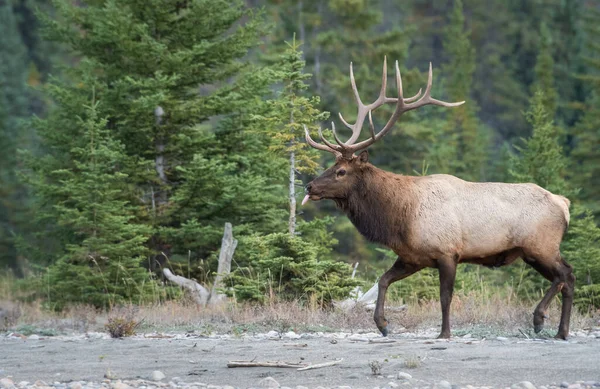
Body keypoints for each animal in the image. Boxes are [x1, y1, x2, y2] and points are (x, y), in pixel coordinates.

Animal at [302, 58, 576, 340]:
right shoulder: (412, 257)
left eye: (341, 171)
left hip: (540, 246)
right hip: (533, 252)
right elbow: (383, 279)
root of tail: (563, 203)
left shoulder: (448, 252)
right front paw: (382, 324)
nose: (309, 186)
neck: (400, 217)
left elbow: (445, 297)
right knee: (567, 280)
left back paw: (540, 319)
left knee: (566, 274)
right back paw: (561, 331)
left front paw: (444, 332)